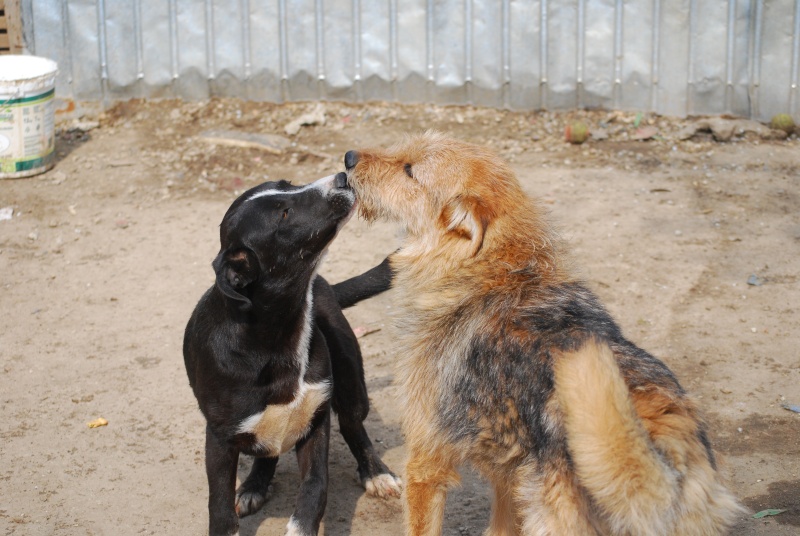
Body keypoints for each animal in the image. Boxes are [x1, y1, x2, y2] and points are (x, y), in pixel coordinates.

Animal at [184, 174, 404, 532]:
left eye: (287, 183)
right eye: (284, 214)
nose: (341, 176)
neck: (278, 336)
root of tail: (323, 284)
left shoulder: (315, 423)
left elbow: (316, 487)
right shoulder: (219, 439)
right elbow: (219, 503)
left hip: (351, 378)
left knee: (353, 424)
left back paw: (377, 473)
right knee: (266, 452)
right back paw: (254, 486)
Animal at [342, 131, 744, 536]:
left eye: (409, 170)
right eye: (402, 150)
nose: (347, 158)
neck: (498, 273)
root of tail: (666, 444)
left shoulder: (426, 462)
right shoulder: (509, 474)